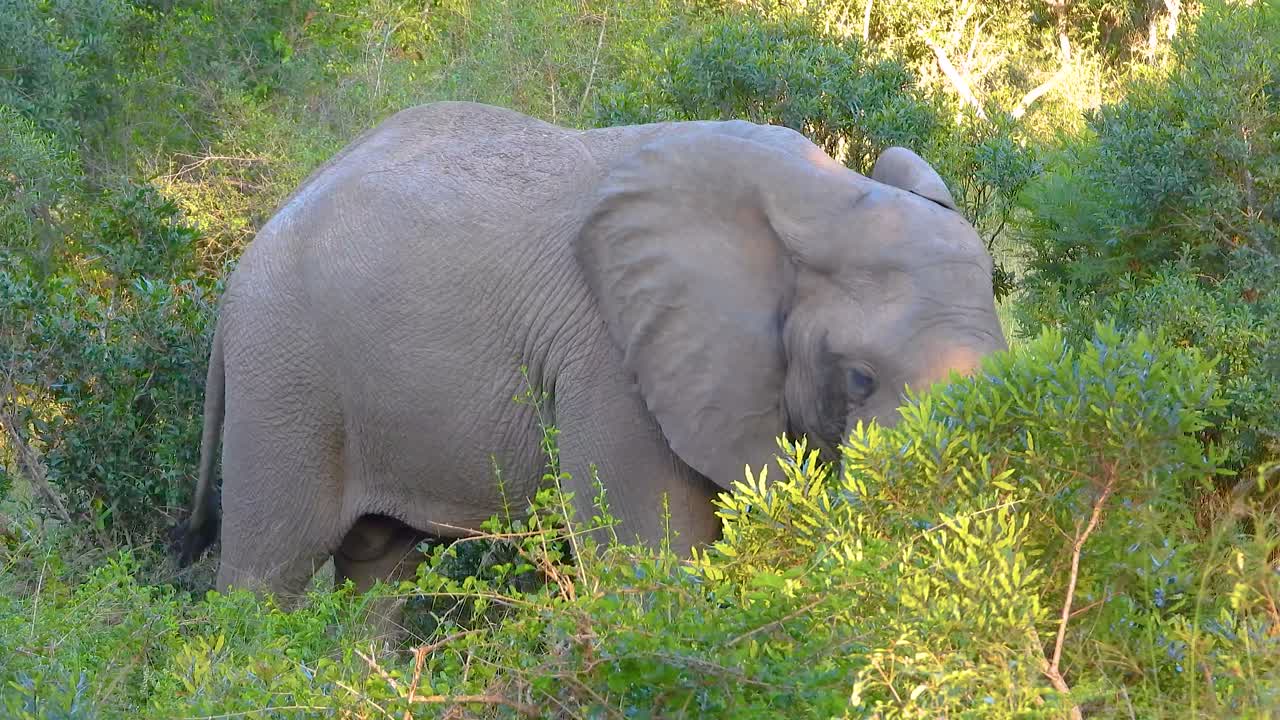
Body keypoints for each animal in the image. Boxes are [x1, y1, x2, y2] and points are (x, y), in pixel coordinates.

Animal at [173, 101, 1007, 603]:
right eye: (859, 378)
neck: (822, 195)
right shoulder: (613, 367)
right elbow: (650, 561)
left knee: (379, 570)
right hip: (286, 377)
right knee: (268, 576)